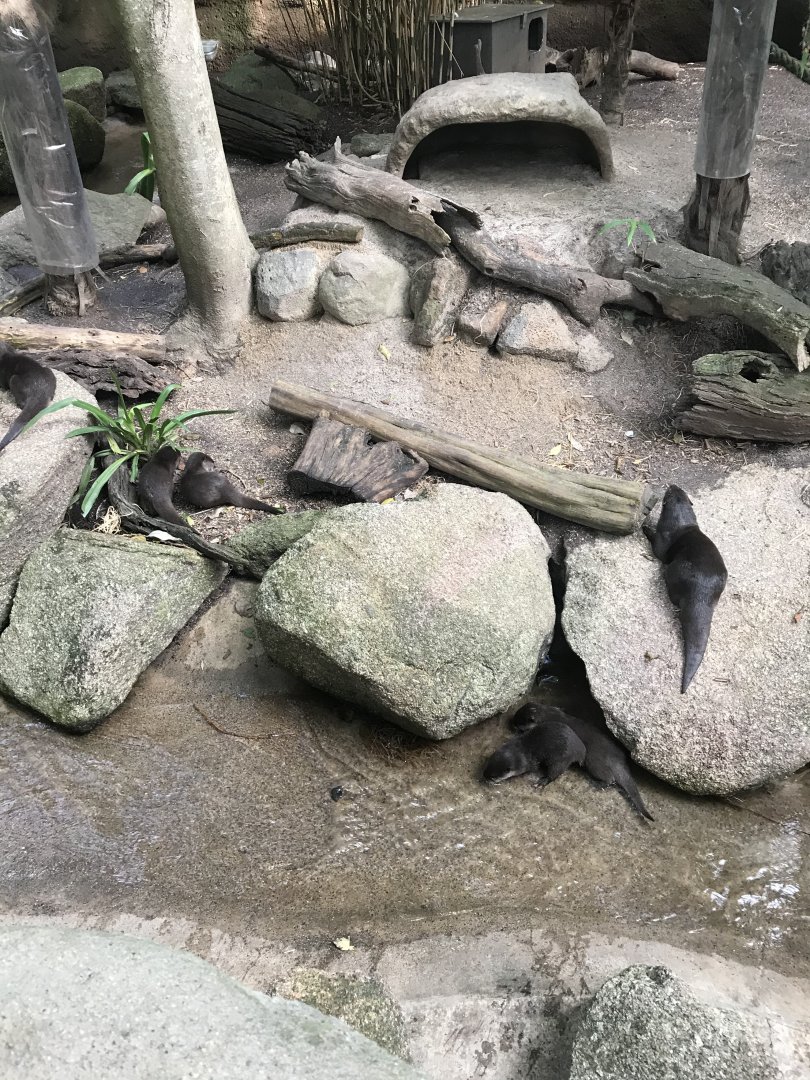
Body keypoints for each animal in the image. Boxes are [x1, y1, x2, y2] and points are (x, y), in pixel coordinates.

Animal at [511, 703, 654, 820]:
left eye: (518, 721)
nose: (512, 722)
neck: (550, 714)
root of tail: (617, 760)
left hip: (593, 763)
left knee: (610, 779)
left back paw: (597, 784)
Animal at [644, 485, 727, 694]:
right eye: (678, 489)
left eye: (669, 491)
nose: (672, 484)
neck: (681, 523)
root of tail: (702, 591)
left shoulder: (663, 539)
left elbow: (658, 551)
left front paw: (645, 528)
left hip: (674, 571)